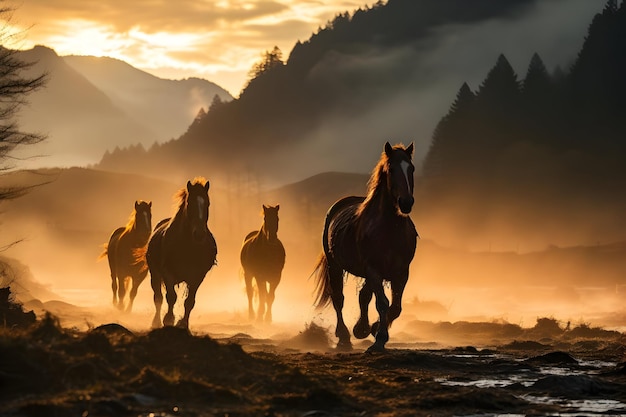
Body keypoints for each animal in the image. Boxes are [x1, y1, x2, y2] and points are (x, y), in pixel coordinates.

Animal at [144, 177, 217, 326]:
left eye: (207, 203)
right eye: (190, 203)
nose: (199, 234)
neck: (187, 246)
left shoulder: (198, 277)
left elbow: (190, 302)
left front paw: (183, 324)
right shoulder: (168, 273)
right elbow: (171, 297)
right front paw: (168, 319)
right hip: (155, 274)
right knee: (158, 297)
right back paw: (156, 322)